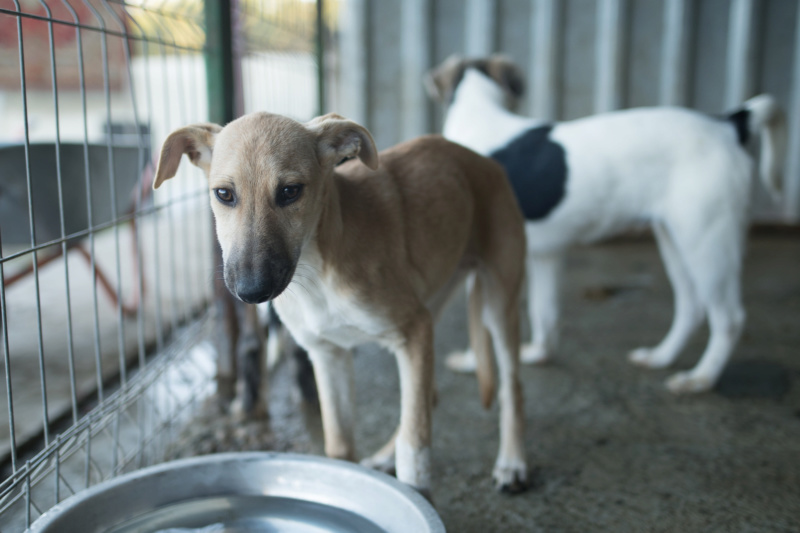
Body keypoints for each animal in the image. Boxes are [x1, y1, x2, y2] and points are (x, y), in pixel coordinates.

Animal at [155, 111, 532, 494]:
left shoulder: (412, 331)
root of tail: (482, 159)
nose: (251, 292)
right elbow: (339, 447)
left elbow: (415, 449)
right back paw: (385, 456)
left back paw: (512, 463)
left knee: (512, 389)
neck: (318, 274)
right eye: (224, 194)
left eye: (290, 191)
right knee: (429, 396)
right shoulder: (329, 354)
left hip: (498, 300)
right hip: (432, 301)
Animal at [428, 56, 784, 392]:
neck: (480, 112)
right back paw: (661, 357)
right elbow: (544, 311)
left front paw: (471, 364)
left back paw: (701, 379)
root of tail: (727, 126)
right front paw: (539, 354)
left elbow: (485, 323)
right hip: (676, 237)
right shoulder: (545, 255)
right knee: (692, 306)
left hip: (708, 240)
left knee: (729, 318)